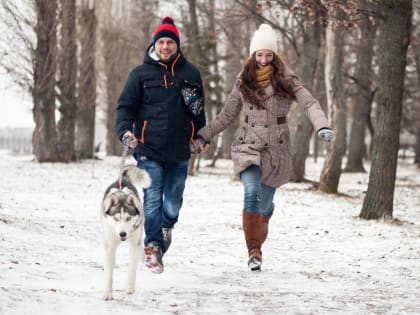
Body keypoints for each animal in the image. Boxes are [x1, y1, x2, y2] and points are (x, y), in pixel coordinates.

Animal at [101, 165, 150, 302]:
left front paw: (130, 288)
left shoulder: (134, 243)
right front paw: (108, 293)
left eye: (128, 218)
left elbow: (132, 269)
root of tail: (122, 179)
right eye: (116, 218)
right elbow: (108, 273)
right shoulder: (110, 243)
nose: (122, 234)